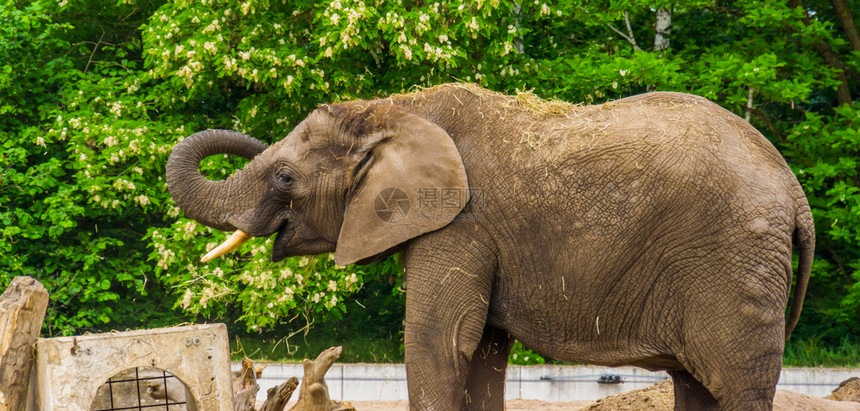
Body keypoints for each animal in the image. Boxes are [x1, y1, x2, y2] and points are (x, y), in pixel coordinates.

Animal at [166, 83, 812, 411]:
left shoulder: (461, 224)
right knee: (697, 385)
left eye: (284, 179)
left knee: (734, 383)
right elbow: (480, 355)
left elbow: (440, 343)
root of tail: (794, 190)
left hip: (732, 264)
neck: (400, 109)